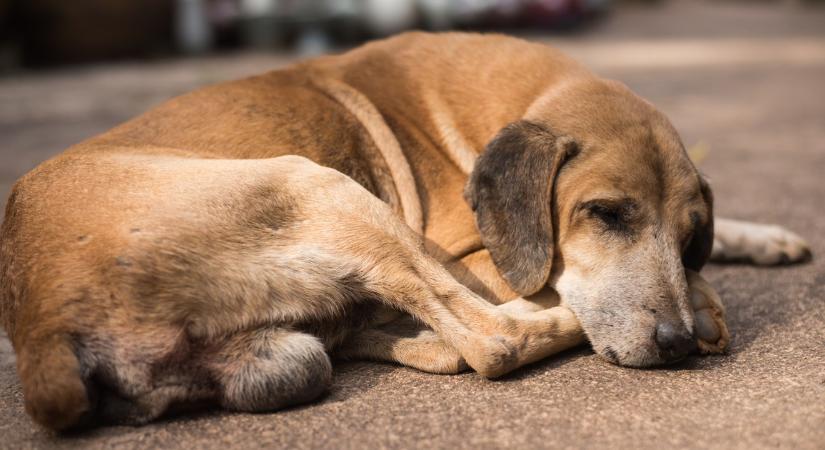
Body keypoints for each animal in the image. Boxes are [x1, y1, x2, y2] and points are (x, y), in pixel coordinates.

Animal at [0, 31, 812, 428]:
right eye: (606, 214)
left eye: (689, 233)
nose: (676, 342)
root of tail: (41, 329)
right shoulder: (463, 254)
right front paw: (705, 297)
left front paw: (754, 238)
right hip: (323, 185)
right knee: (491, 341)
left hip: (292, 354)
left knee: (423, 343)